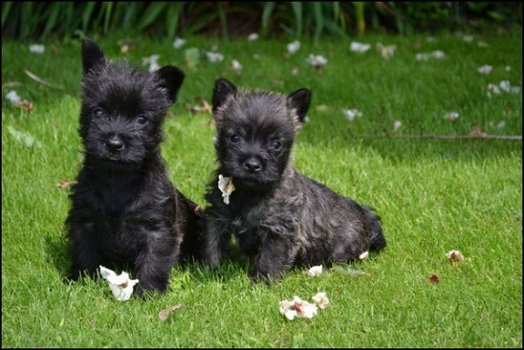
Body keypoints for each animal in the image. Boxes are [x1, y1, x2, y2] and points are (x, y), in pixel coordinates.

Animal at [64, 39, 199, 296]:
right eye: (98, 112)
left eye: (141, 119)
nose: (114, 144)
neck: (117, 180)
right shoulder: (84, 220)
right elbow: (84, 252)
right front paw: (80, 281)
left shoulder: (157, 229)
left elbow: (153, 261)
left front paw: (149, 292)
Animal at [201, 79, 384, 282]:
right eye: (235, 137)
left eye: (276, 144)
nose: (252, 165)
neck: (249, 194)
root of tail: (367, 217)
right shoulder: (217, 217)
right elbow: (212, 245)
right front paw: (211, 271)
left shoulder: (279, 230)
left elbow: (269, 259)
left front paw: (261, 283)